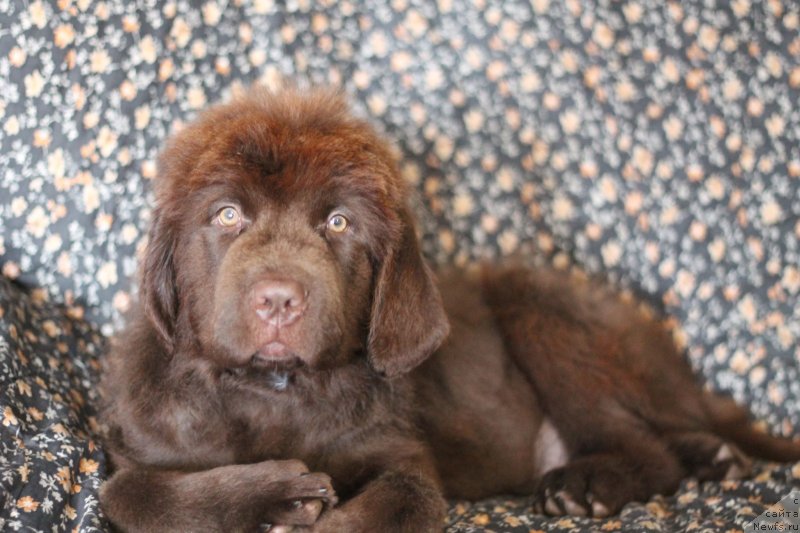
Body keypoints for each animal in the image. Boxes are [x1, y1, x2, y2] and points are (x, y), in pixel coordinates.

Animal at [100, 85, 800, 528]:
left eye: (338, 222)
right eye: (227, 215)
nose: (278, 300)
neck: (274, 390)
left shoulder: (400, 454)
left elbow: (405, 501)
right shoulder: (145, 442)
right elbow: (127, 492)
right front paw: (275, 493)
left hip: (542, 308)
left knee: (642, 445)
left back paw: (585, 487)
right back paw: (712, 456)